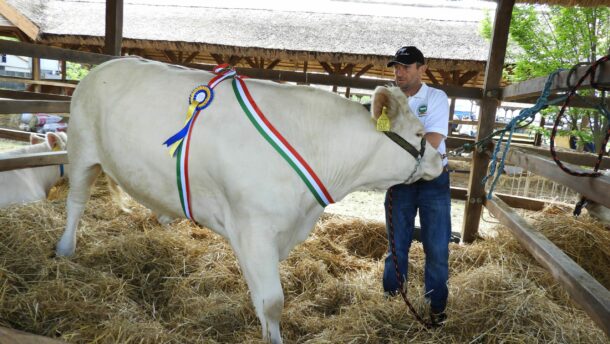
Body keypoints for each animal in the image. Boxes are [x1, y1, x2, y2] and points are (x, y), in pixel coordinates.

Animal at [54, 57, 440, 342]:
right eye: (419, 133)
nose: (440, 161)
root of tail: (102, 67)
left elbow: (260, 296)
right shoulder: (255, 228)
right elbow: (272, 302)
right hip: (82, 150)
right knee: (75, 202)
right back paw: (65, 249)